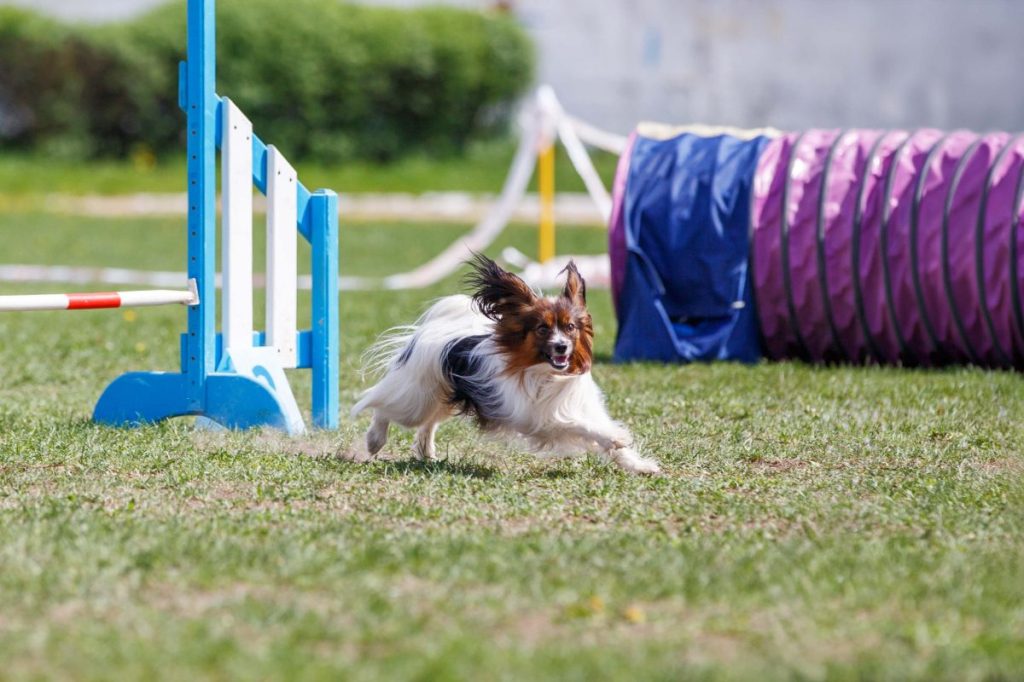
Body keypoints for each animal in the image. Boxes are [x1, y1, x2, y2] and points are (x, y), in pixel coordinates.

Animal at [348, 250, 659, 473]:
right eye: (542, 329)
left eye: (570, 327)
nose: (561, 347)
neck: (548, 375)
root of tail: (435, 330)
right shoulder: (541, 419)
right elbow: (580, 426)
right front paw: (615, 435)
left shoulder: (580, 408)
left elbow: (609, 443)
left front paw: (639, 465)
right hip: (416, 398)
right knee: (381, 404)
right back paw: (374, 440)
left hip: (443, 396)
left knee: (428, 421)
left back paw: (426, 451)